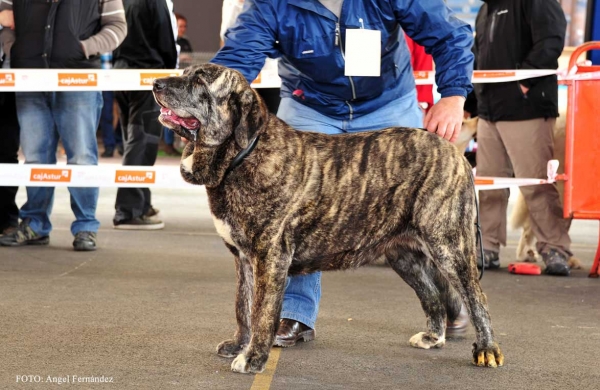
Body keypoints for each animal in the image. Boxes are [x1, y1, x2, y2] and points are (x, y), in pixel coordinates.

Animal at [152, 62, 504, 374]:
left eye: (200, 80)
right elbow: (243, 307)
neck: (243, 155)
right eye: (185, 73)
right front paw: (239, 345)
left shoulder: (270, 257)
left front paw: (252, 359)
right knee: (431, 294)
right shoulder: (244, 259)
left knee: (476, 296)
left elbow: (262, 312)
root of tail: (454, 151)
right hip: (404, 255)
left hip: (449, 246)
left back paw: (487, 349)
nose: (156, 83)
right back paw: (434, 336)